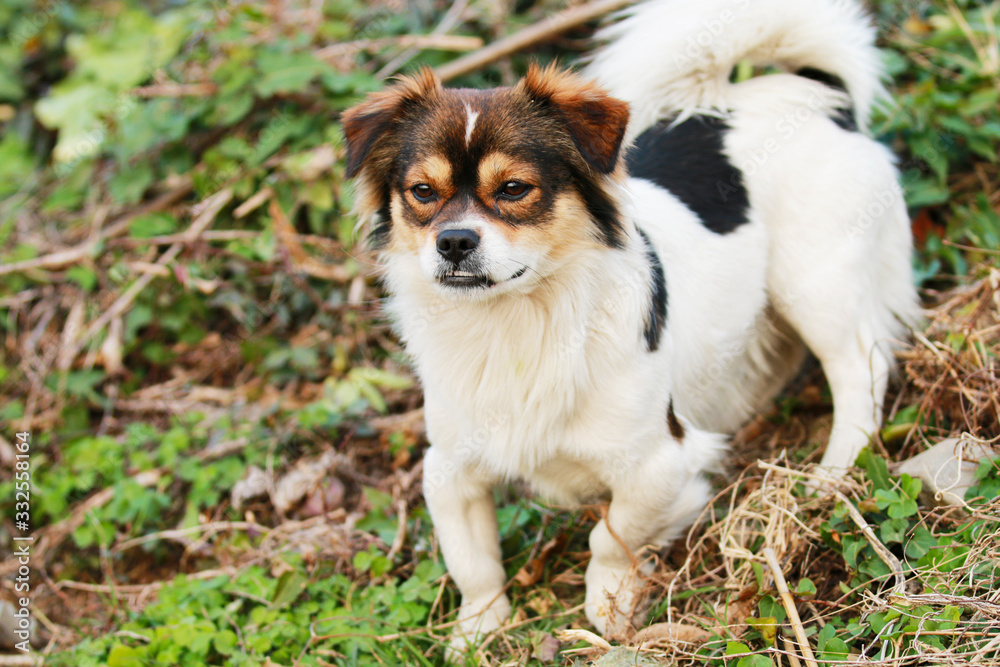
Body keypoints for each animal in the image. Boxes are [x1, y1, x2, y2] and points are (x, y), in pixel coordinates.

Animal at [342, 0, 916, 652]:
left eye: (513, 189)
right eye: (422, 192)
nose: (454, 241)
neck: (518, 319)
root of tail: (820, 95)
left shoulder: (661, 465)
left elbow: (611, 534)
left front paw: (609, 603)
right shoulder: (449, 469)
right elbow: (472, 560)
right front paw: (478, 629)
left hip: (816, 285)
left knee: (860, 371)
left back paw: (833, 474)